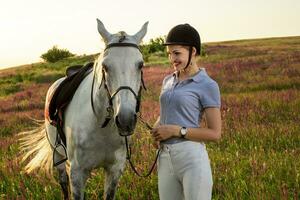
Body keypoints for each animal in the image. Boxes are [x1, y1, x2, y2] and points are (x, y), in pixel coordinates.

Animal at [19, 19, 148, 200]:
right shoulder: (77, 173)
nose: (125, 120)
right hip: (58, 156)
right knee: (63, 183)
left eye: (140, 65)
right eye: (105, 66)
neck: (101, 125)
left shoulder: (114, 170)